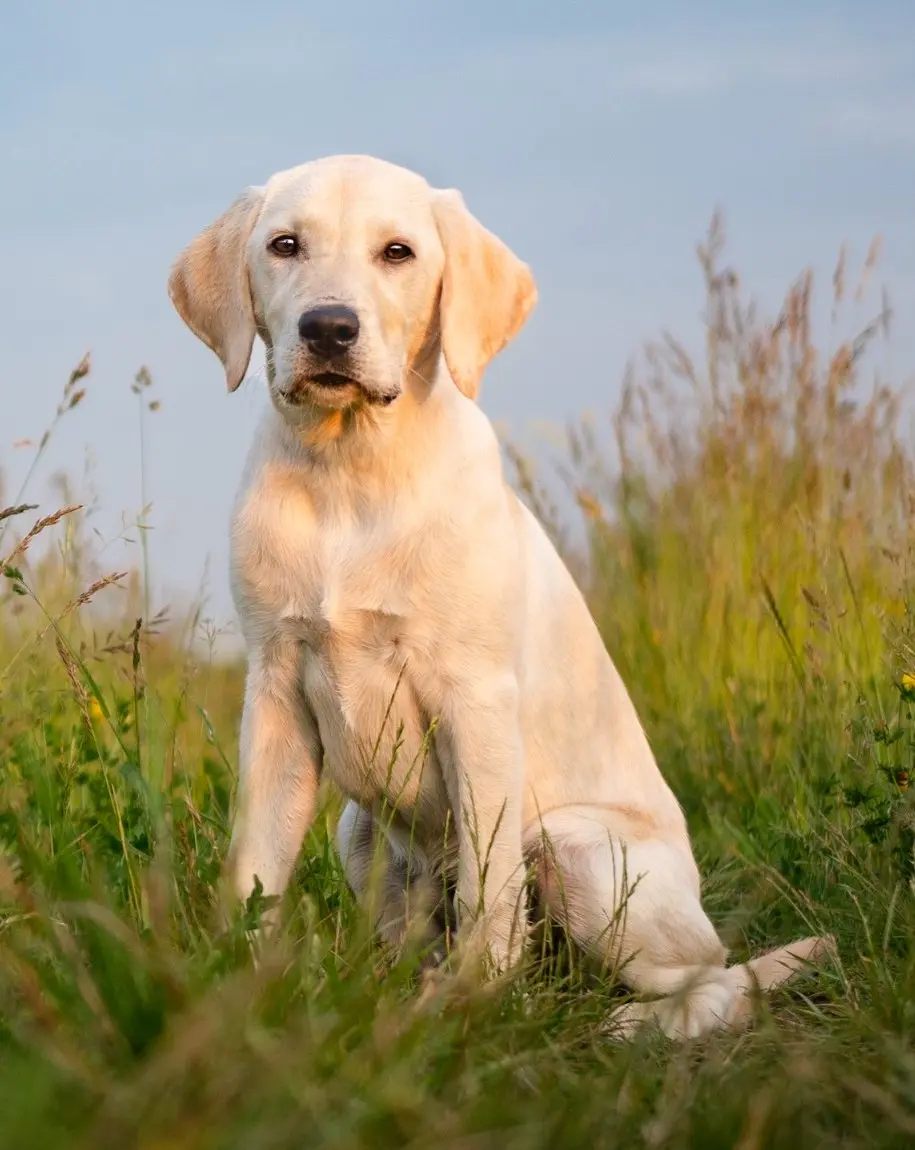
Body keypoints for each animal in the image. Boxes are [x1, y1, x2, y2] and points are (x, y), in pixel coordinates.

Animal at [167, 148, 832, 1039]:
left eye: (398, 253)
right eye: (284, 245)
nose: (328, 329)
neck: (350, 470)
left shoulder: (474, 700)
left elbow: (489, 891)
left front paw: (476, 1008)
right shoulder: (276, 691)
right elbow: (255, 869)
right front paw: (235, 993)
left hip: (577, 850)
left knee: (710, 979)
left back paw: (621, 1025)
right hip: (359, 830)